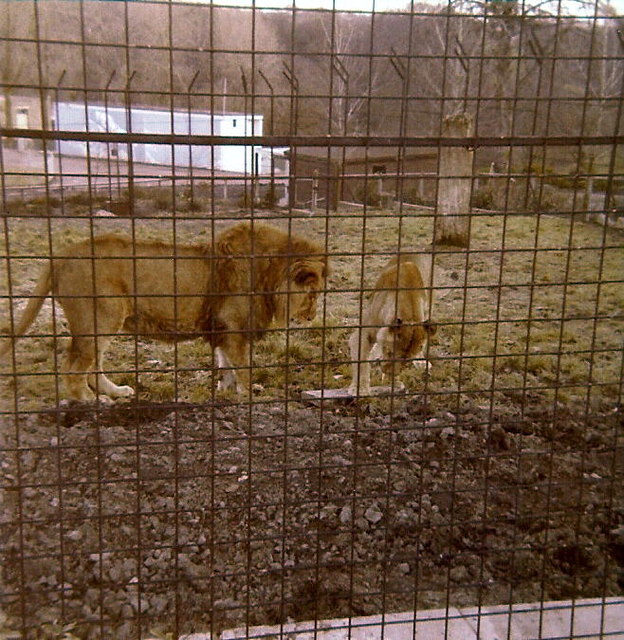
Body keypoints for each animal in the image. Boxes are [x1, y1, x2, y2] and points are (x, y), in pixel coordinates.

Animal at [1, 220, 326, 400]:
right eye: (312, 294)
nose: (311, 317)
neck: (270, 274)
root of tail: (61, 255)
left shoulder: (223, 328)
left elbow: (225, 365)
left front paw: (226, 391)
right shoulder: (234, 327)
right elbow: (242, 367)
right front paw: (250, 396)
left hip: (102, 323)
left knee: (93, 366)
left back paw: (116, 392)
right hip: (99, 319)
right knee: (73, 368)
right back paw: (91, 401)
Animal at [348, 254, 436, 396]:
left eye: (406, 361)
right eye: (390, 352)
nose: (388, 372)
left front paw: (394, 382)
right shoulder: (361, 335)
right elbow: (362, 362)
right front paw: (359, 388)